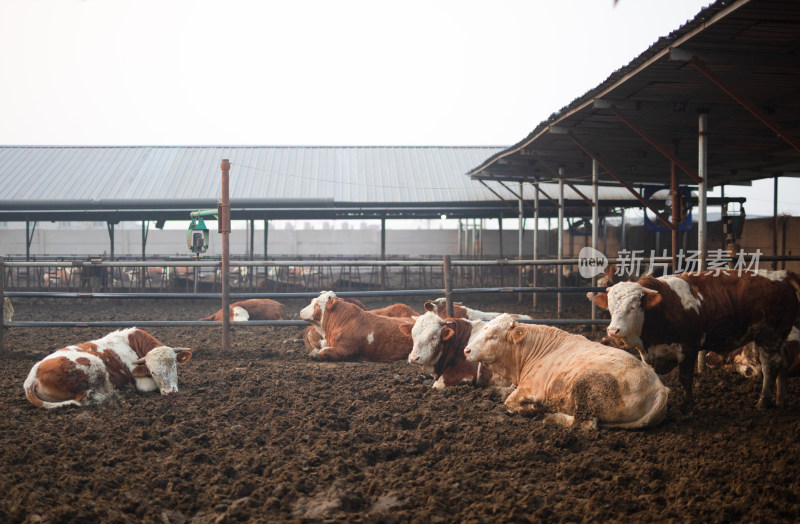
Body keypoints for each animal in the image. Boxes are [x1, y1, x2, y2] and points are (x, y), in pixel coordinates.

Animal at [23, 328, 192, 410]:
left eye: (174, 365)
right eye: (152, 372)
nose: (169, 392)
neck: (133, 343)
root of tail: (31, 379)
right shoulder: (142, 383)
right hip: (94, 365)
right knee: (86, 398)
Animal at [462, 316, 668, 430]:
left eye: (494, 336)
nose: (467, 350)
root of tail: (658, 386)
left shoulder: (530, 389)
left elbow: (509, 402)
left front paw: (531, 408)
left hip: (587, 388)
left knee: (584, 424)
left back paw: (550, 416)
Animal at [592, 270, 800, 414]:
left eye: (634, 307)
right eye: (610, 307)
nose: (613, 330)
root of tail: (782, 276)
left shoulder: (688, 348)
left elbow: (685, 378)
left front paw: (687, 407)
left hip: (770, 336)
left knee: (769, 368)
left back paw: (762, 403)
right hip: (778, 338)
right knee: (783, 363)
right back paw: (780, 400)